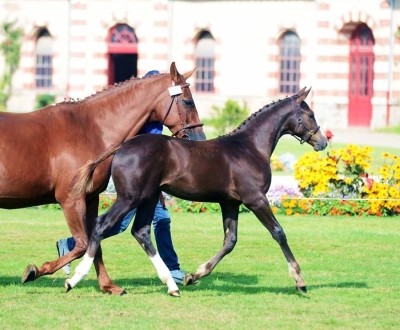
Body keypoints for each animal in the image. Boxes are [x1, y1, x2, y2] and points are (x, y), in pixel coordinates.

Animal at [0, 62, 206, 294]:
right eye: (188, 101)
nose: (200, 139)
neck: (89, 129)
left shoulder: (90, 199)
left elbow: (94, 242)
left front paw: (108, 286)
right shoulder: (71, 200)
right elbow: (83, 244)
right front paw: (36, 270)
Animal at [67, 86, 326, 296]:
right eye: (310, 115)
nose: (322, 142)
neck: (250, 147)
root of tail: (121, 147)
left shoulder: (230, 203)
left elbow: (230, 241)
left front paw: (194, 276)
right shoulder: (255, 199)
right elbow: (278, 232)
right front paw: (300, 281)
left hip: (148, 198)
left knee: (140, 232)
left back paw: (172, 285)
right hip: (130, 198)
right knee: (101, 225)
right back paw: (74, 279)